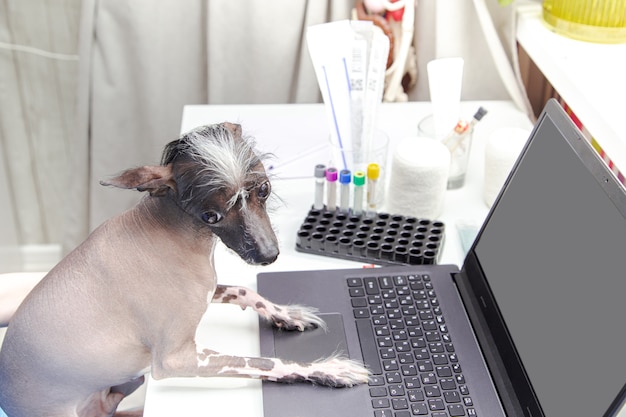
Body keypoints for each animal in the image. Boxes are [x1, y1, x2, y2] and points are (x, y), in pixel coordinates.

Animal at [0, 123, 368, 416]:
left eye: (264, 189)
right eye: (211, 216)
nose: (269, 256)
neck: (167, 229)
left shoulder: (209, 289)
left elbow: (246, 289)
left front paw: (285, 314)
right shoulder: (177, 360)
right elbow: (264, 362)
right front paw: (327, 370)